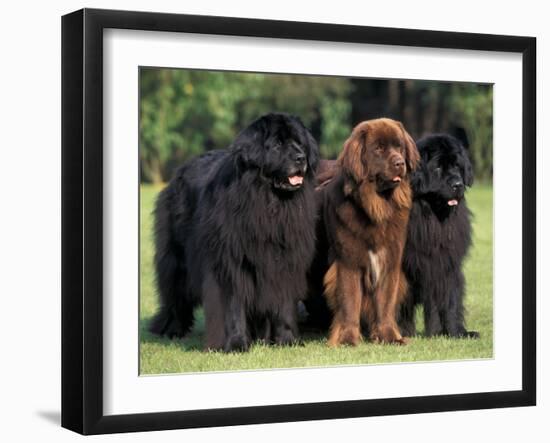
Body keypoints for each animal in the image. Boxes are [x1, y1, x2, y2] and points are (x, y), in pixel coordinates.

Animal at [149, 113, 322, 354]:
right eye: (277, 145)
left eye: (299, 143)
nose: (300, 158)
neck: (269, 203)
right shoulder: (230, 264)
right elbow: (233, 305)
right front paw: (236, 343)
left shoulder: (285, 262)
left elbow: (284, 305)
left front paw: (287, 340)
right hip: (177, 259)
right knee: (175, 294)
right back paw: (171, 329)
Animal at [398, 134, 480, 338]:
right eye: (437, 168)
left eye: (457, 166)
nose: (458, 184)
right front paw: (399, 332)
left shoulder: (446, 264)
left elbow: (450, 300)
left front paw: (454, 332)